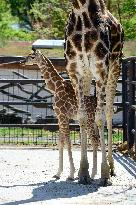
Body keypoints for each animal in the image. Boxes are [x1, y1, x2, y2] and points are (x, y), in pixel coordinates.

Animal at [24, 50, 99, 181]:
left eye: (32, 56)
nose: (22, 61)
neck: (55, 88)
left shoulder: (63, 116)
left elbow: (68, 142)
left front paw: (71, 174)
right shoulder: (59, 117)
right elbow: (61, 142)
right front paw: (58, 173)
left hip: (89, 120)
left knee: (94, 140)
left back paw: (93, 174)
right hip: (94, 122)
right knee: (99, 140)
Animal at [64, 0, 124, 185]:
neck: (80, 11)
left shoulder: (101, 71)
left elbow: (99, 118)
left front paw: (104, 174)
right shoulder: (75, 72)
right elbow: (82, 117)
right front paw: (83, 172)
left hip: (114, 68)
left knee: (109, 112)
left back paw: (111, 167)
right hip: (87, 77)